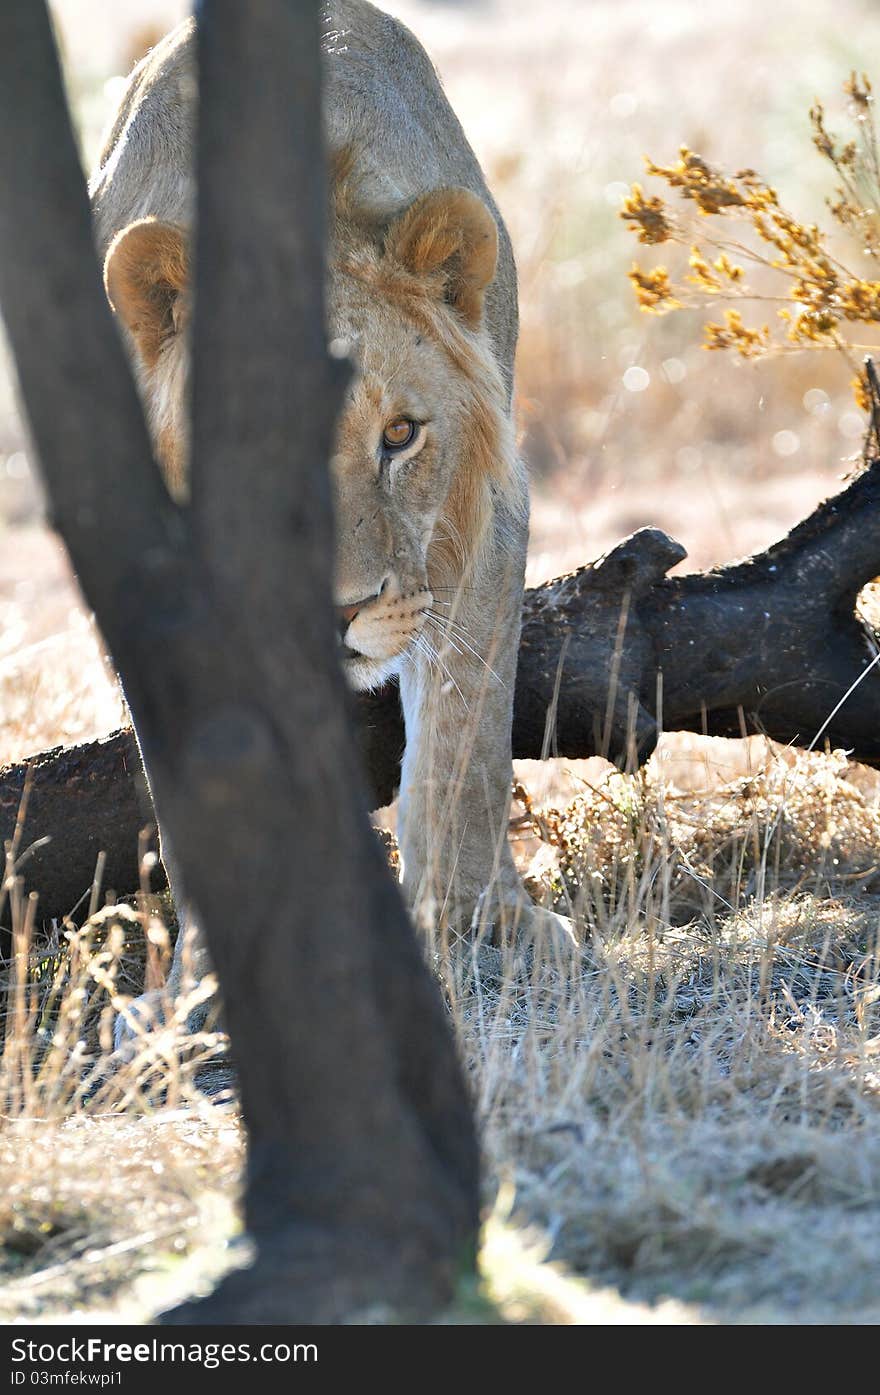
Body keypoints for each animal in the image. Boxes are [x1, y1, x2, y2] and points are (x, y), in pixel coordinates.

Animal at [92, 0, 569, 1026]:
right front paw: (208, 985)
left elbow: (466, 746)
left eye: (400, 435)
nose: (338, 609)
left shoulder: (489, 509)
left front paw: (482, 923)